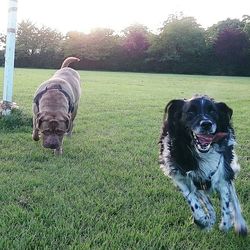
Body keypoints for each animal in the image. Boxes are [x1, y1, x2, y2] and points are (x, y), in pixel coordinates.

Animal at [159, 94, 247, 235]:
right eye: (190, 112)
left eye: (213, 111)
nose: (206, 124)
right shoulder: (180, 175)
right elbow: (192, 198)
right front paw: (202, 219)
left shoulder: (223, 174)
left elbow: (226, 203)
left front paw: (225, 224)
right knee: (204, 198)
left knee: (233, 194)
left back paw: (240, 224)